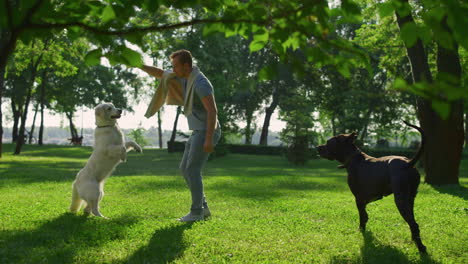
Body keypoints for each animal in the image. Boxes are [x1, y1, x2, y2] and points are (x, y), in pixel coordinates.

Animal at [316, 120, 426, 253]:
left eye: (328, 142)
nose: (317, 147)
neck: (354, 159)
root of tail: (409, 163)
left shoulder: (358, 198)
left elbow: (362, 216)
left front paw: (361, 230)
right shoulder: (368, 198)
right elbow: (365, 213)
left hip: (401, 200)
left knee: (414, 224)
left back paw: (421, 247)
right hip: (410, 199)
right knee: (413, 222)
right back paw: (414, 240)